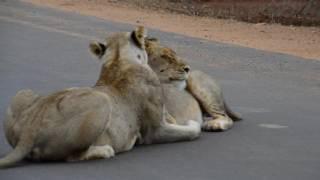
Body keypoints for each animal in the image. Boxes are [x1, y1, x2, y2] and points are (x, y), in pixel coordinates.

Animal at [0, 26, 200, 168]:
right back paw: (104, 150)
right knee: (72, 157)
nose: (188, 69)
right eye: (167, 57)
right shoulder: (154, 131)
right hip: (102, 100)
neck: (118, 60)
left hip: (22, 92)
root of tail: (29, 131)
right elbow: (192, 132)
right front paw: (192, 123)